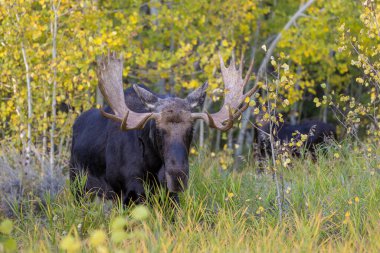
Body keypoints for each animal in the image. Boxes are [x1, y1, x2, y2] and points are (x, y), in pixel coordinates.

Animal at [70, 52, 256, 206]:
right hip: (78, 186)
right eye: (158, 130)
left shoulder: (170, 196)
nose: (177, 176)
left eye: (191, 130)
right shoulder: (127, 193)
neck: (151, 167)